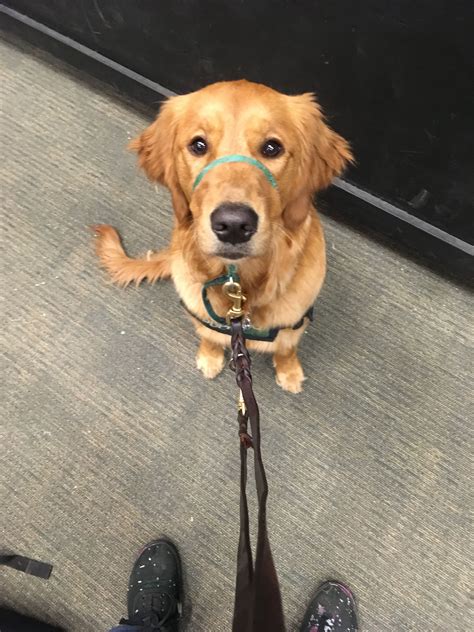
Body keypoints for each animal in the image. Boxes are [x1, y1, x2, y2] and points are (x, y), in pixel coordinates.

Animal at [92, 80, 352, 390]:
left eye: (272, 147)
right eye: (198, 145)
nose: (234, 224)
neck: (241, 288)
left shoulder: (294, 320)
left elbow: (286, 347)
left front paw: (289, 371)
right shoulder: (201, 314)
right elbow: (210, 336)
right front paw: (209, 357)